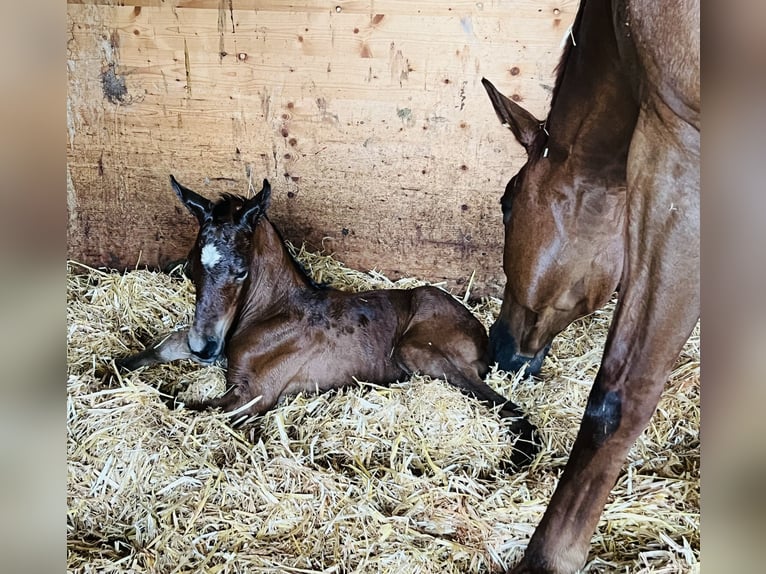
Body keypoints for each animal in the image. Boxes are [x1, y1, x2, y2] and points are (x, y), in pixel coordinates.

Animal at [120, 176, 540, 468]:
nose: (204, 346)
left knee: (509, 408)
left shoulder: (251, 397)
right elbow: (162, 349)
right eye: (192, 267)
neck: (272, 313)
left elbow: (176, 402)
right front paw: (115, 369)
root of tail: (481, 333)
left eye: (240, 272)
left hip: (415, 348)